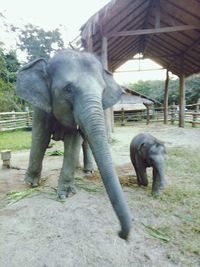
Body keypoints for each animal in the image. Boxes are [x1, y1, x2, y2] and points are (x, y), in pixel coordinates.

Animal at [16, 48, 132, 241]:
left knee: (85, 143)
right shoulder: (40, 107)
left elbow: (73, 140)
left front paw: (65, 194)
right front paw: (31, 184)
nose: (121, 234)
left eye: (103, 91)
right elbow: (39, 137)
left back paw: (88, 170)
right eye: (68, 89)